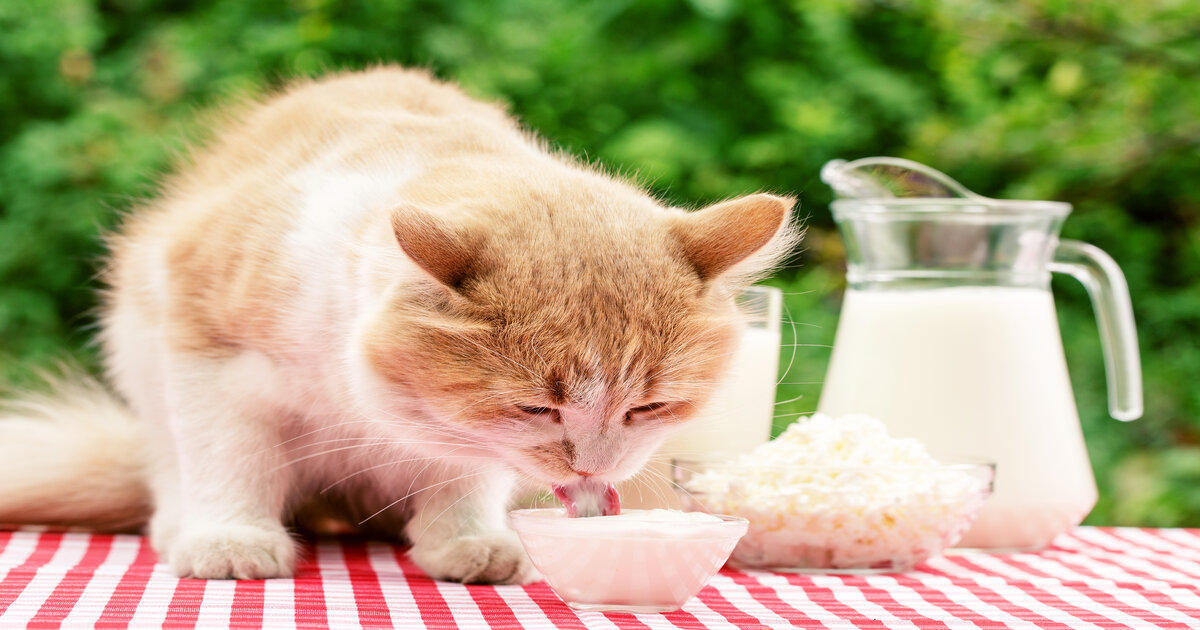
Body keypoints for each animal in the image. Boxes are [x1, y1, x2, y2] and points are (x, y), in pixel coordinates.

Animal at [0, 66, 796, 583]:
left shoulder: (460, 436)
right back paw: (181, 526)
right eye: (535, 408)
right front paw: (230, 538)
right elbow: (228, 456)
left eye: (650, 407)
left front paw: (465, 542)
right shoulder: (204, 342)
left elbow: (464, 472)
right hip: (136, 347)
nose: (591, 469)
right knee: (168, 465)